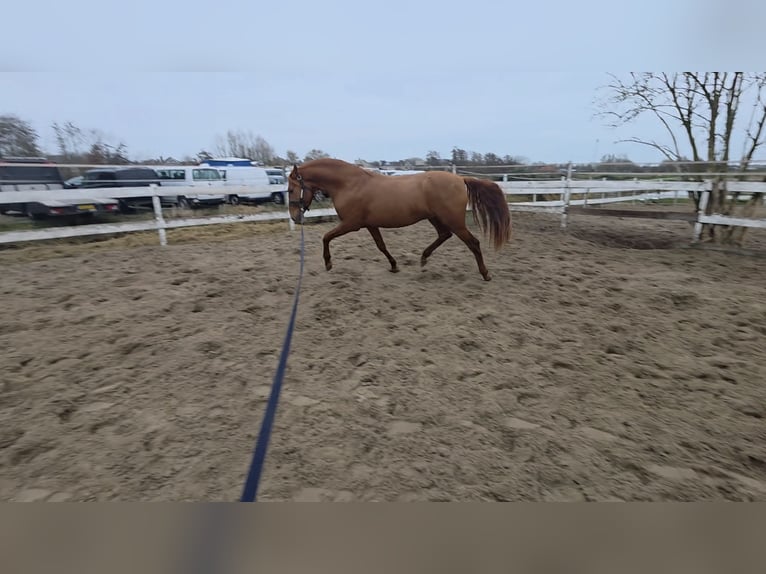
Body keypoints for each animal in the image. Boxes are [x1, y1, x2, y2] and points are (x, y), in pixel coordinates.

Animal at [286, 158, 512, 281]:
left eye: (290, 189)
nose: (295, 217)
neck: (349, 184)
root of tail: (460, 179)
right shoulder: (370, 225)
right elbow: (381, 246)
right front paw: (394, 265)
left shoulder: (352, 224)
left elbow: (326, 237)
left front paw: (328, 263)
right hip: (436, 218)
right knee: (444, 235)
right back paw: (423, 258)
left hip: (454, 221)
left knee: (473, 243)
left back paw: (485, 274)